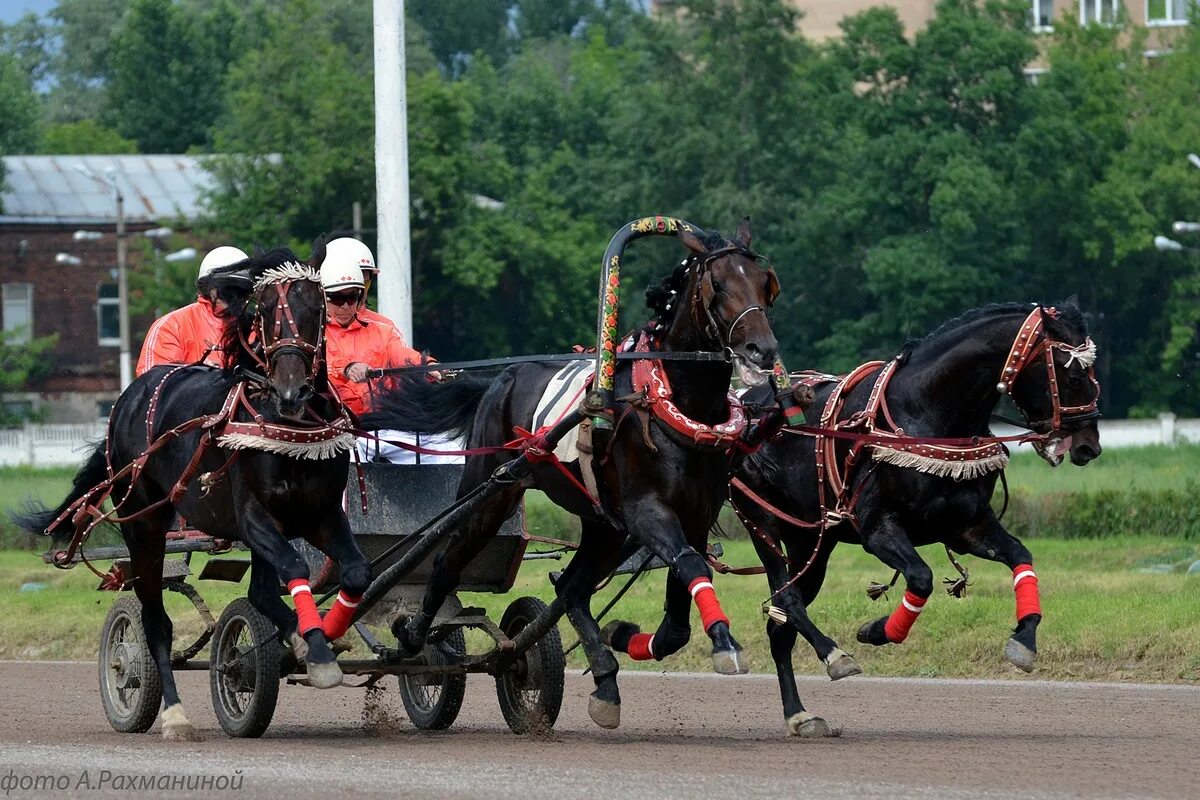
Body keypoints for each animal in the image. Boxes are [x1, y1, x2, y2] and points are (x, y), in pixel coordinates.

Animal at [16, 244, 367, 738]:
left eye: (315, 308)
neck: (288, 428)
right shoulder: (254, 518)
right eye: (266, 311)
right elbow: (295, 566)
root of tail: (128, 397)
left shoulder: (320, 515)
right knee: (154, 620)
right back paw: (174, 712)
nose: (292, 391)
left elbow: (353, 573)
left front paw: (319, 637)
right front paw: (313, 647)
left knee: (260, 593)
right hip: (144, 523)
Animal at [362, 219, 777, 734]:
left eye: (764, 283)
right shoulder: (647, 512)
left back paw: (602, 677)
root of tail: (499, 380)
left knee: (572, 587)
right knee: (446, 561)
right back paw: (416, 640)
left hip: (602, 525)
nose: (763, 349)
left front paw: (636, 638)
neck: (673, 405)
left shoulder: (695, 515)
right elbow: (690, 566)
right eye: (717, 285)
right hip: (492, 492)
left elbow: (682, 595)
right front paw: (724, 643)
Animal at [614, 299, 1099, 738]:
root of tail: (742, 412)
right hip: (764, 522)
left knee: (780, 620)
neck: (923, 414)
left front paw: (1024, 639)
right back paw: (833, 655)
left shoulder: (967, 526)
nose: (1088, 446)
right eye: (1073, 373)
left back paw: (799, 714)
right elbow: (921, 577)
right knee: (787, 601)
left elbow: (1021, 558)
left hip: (812, 542)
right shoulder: (877, 528)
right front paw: (879, 630)